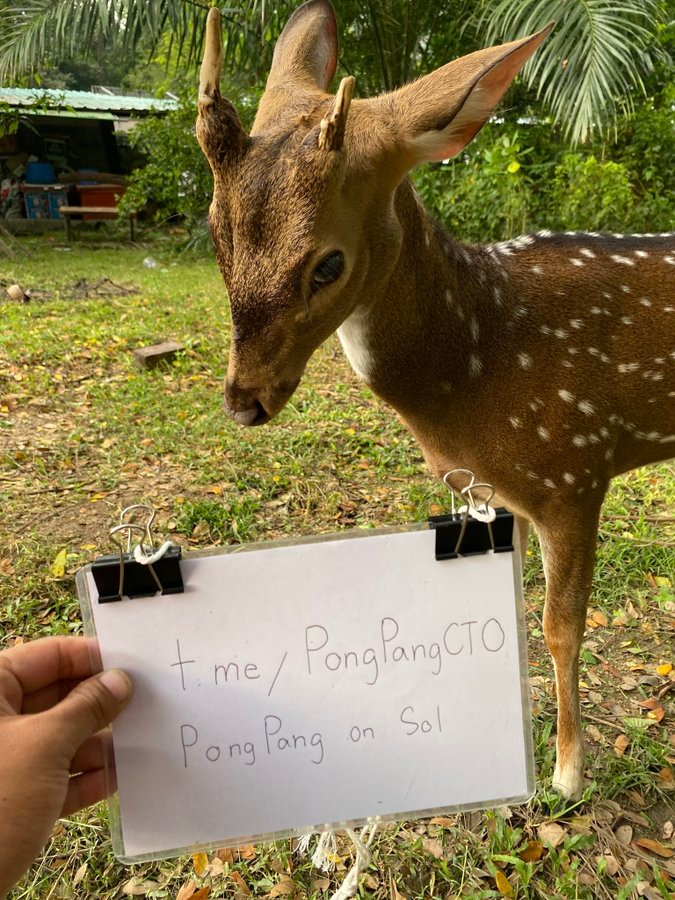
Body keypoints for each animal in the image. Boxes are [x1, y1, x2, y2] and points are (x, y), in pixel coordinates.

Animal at [195, 0, 675, 801]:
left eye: (327, 264)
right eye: (215, 238)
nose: (244, 399)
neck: (476, 365)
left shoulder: (575, 469)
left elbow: (561, 626)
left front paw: (566, 774)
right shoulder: (495, 492)